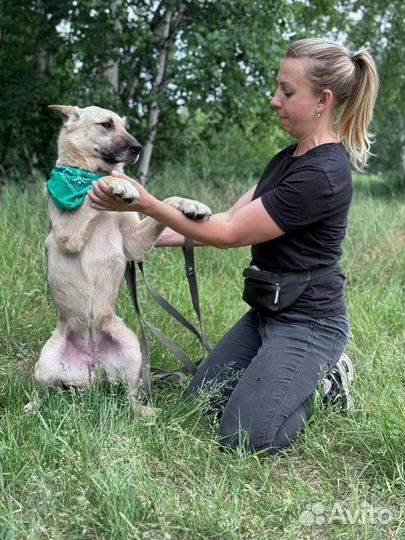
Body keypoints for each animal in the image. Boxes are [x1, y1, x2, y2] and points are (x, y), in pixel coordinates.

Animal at [34, 105, 211, 400]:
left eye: (125, 127)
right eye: (106, 124)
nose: (138, 147)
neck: (82, 173)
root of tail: (91, 369)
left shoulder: (135, 244)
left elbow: (165, 201)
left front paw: (191, 205)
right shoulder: (69, 234)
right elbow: (95, 185)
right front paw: (118, 184)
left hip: (132, 348)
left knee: (131, 396)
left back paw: (147, 408)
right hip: (45, 363)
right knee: (45, 394)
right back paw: (31, 406)